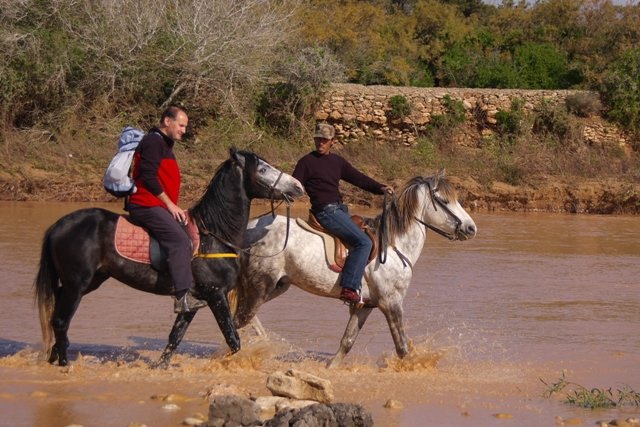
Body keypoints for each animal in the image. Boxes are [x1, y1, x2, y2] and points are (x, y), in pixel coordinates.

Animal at [33, 150, 304, 368]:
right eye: (262, 169)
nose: (297, 186)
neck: (213, 233)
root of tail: (57, 226)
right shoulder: (215, 293)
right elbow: (232, 338)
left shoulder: (194, 300)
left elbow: (175, 337)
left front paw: (160, 367)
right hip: (76, 284)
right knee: (60, 320)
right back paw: (64, 365)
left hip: (88, 281)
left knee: (57, 316)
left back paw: (53, 357)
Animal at [235, 171, 476, 368]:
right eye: (444, 200)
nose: (471, 228)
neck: (394, 247)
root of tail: (249, 228)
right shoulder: (391, 302)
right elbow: (402, 347)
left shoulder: (365, 305)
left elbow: (347, 342)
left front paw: (330, 369)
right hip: (261, 285)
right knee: (242, 317)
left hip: (277, 286)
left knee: (244, 317)